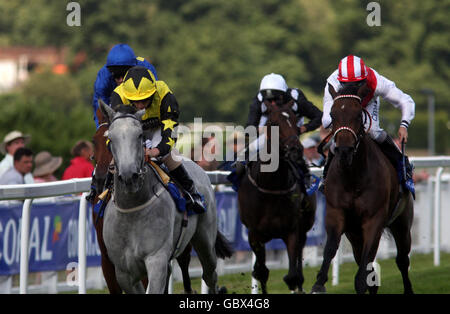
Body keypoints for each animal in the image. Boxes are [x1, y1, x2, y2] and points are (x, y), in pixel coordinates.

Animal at [237, 101, 314, 294]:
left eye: (295, 120)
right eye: (273, 123)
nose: (295, 150)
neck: (271, 184)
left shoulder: (292, 230)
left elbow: (292, 275)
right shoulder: (254, 234)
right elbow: (261, 272)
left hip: (304, 227)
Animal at [312, 84, 414, 294]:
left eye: (359, 114)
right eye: (332, 115)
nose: (344, 150)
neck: (353, 178)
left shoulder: (374, 219)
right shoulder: (336, 214)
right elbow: (330, 248)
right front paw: (318, 283)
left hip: (402, 222)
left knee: (402, 259)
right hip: (354, 233)